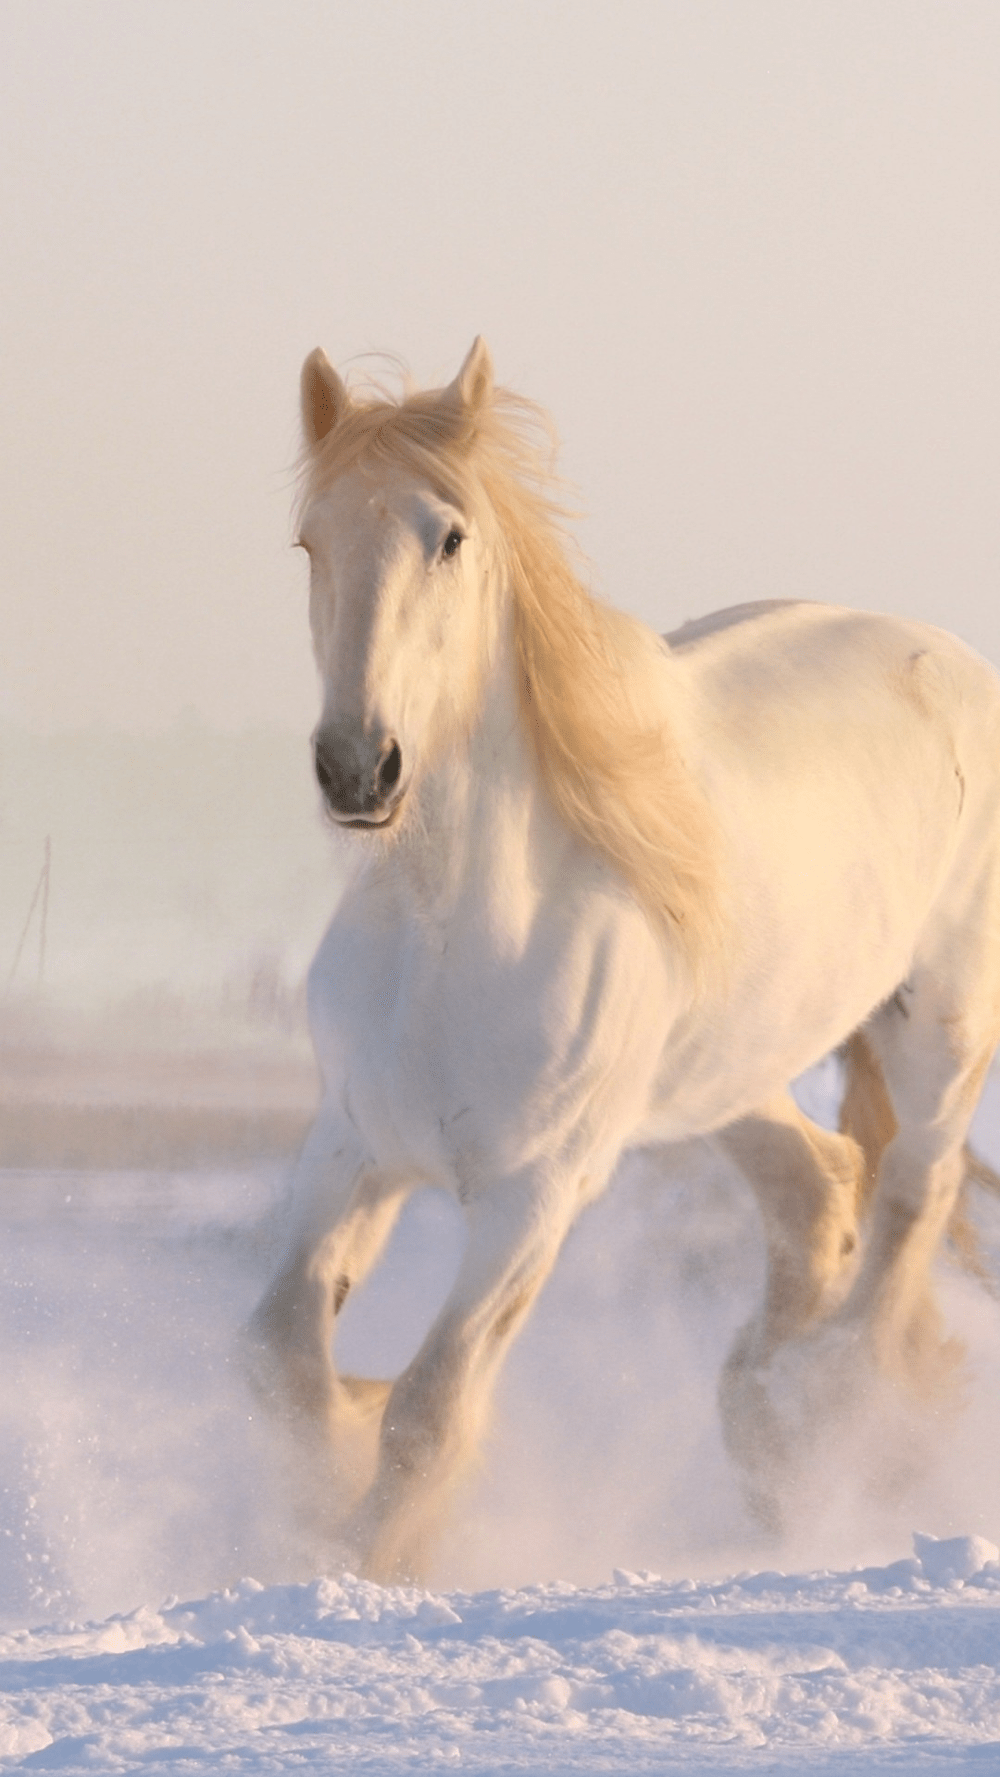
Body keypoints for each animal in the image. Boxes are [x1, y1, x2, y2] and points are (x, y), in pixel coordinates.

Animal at [249, 337, 1000, 1581]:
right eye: (310, 541)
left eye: (448, 536)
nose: (360, 768)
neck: (455, 931)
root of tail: (948, 655)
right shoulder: (352, 1146)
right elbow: (281, 1359)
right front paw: (314, 1499)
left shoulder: (532, 1195)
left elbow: (430, 1408)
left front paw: (366, 1564)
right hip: (725, 1073)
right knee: (818, 1189)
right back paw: (765, 1427)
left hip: (935, 1023)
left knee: (909, 1192)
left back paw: (832, 1416)